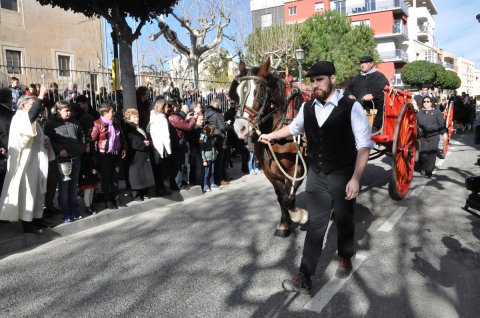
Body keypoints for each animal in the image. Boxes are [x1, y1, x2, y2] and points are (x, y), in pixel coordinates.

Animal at [231, 58, 310, 237]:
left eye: (259, 93)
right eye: (237, 93)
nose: (240, 128)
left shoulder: (297, 167)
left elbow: (288, 196)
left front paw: (299, 215)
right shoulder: (269, 169)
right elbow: (281, 196)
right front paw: (284, 224)